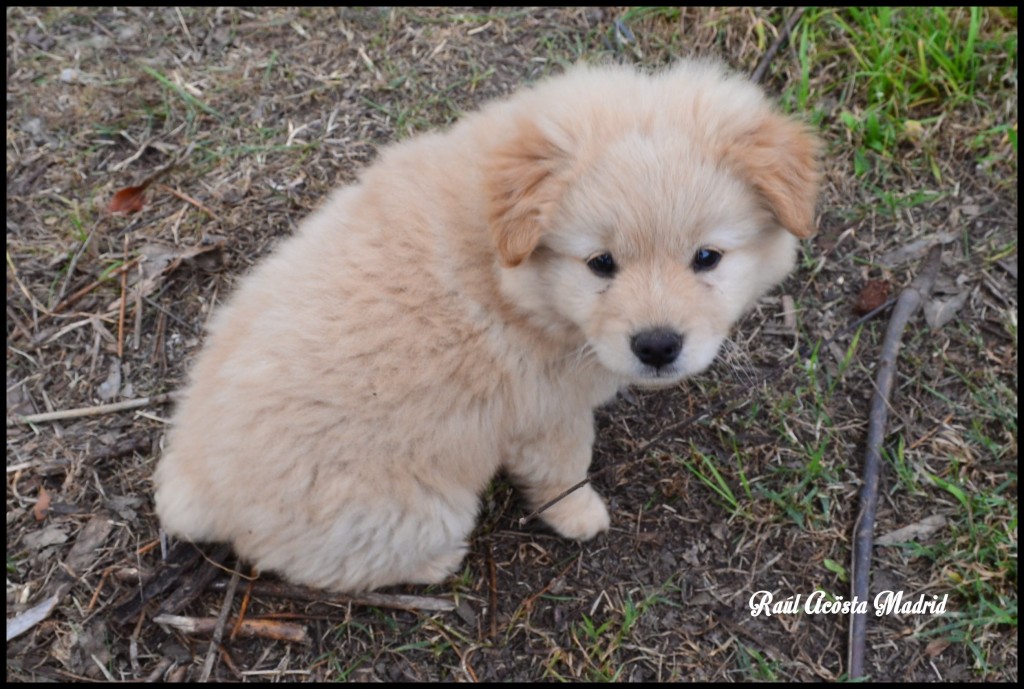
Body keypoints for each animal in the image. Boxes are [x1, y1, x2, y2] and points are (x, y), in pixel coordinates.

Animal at [153, 60, 823, 589]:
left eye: (707, 257)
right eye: (600, 263)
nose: (657, 347)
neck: (507, 269)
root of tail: (195, 485)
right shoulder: (547, 414)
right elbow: (563, 473)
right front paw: (581, 517)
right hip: (419, 511)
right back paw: (436, 563)